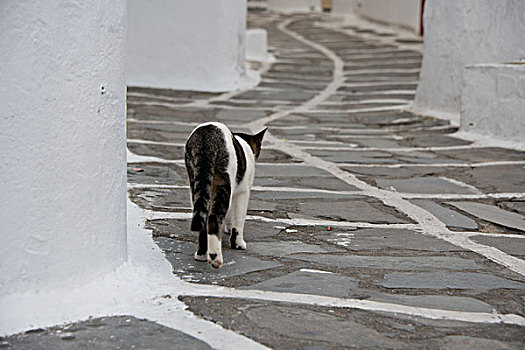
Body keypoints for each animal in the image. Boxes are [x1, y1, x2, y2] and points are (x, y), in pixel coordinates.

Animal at [184, 122, 266, 268]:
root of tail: (207, 134)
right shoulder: (242, 192)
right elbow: (239, 219)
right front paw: (238, 243)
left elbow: (230, 216)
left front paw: (228, 228)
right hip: (223, 181)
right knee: (213, 218)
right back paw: (215, 257)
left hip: (197, 182)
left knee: (204, 219)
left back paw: (201, 255)